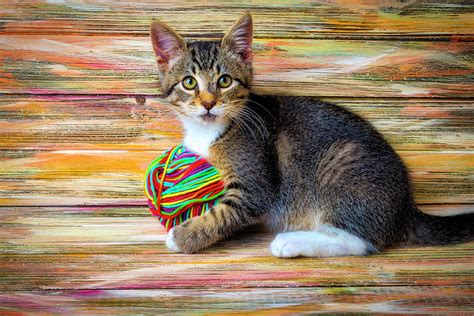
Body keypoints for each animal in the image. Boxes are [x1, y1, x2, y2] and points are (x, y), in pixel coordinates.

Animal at [150, 13, 472, 258]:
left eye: (225, 81)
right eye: (189, 83)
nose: (208, 103)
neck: (209, 128)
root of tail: (406, 207)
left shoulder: (255, 182)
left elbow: (223, 213)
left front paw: (183, 237)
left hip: (338, 165)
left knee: (361, 242)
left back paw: (292, 241)